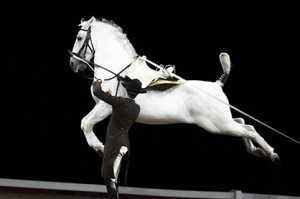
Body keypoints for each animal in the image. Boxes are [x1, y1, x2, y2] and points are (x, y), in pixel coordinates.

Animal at [69, 15, 280, 165]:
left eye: (79, 37)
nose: (72, 63)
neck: (119, 70)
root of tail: (217, 85)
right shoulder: (102, 106)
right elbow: (86, 122)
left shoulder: (106, 106)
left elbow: (85, 123)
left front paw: (99, 148)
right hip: (222, 121)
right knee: (245, 125)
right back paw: (257, 151)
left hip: (219, 125)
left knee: (249, 129)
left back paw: (272, 154)